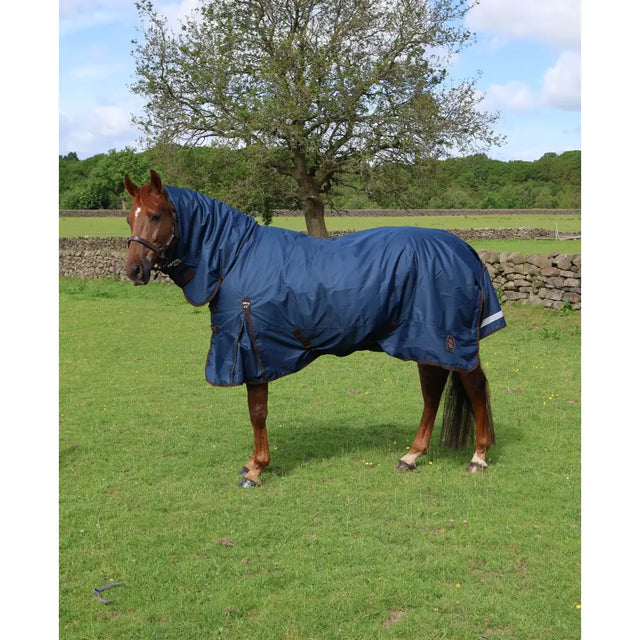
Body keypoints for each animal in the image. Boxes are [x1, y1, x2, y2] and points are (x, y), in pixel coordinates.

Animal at [124, 170, 506, 487]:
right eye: (129, 217)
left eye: (156, 215)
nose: (133, 271)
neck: (235, 259)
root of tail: (466, 251)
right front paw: (252, 464)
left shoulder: (253, 351)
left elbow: (257, 413)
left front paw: (256, 469)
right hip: (422, 341)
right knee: (432, 391)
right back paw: (411, 456)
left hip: (447, 341)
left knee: (472, 387)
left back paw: (478, 457)